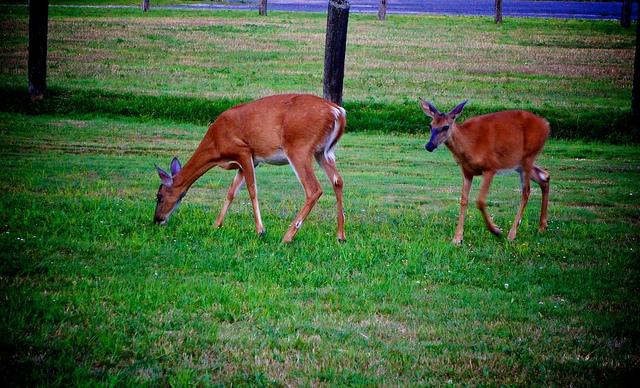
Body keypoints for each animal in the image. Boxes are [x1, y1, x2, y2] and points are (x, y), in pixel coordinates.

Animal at [154, 94, 344, 242]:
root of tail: (337, 112)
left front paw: (261, 230)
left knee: (314, 188)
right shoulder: (250, 162)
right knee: (338, 181)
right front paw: (216, 224)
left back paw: (287, 236)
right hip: (324, 152)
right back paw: (340, 236)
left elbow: (252, 189)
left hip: (299, 148)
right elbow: (231, 192)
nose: (157, 220)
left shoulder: (243, 151)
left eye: (159, 196)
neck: (216, 147)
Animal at [420, 99, 552, 246]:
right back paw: (542, 226)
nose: (429, 145)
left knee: (526, 191)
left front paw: (496, 230)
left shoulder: (491, 167)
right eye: (430, 125)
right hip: (519, 163)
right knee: (544, 176)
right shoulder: (466, 171)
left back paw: (512, 234)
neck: (469, 145)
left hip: (528, 156)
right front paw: (457, 238)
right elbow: (463, 200)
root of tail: (546, 125)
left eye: (446, 127)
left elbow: (480, 200)